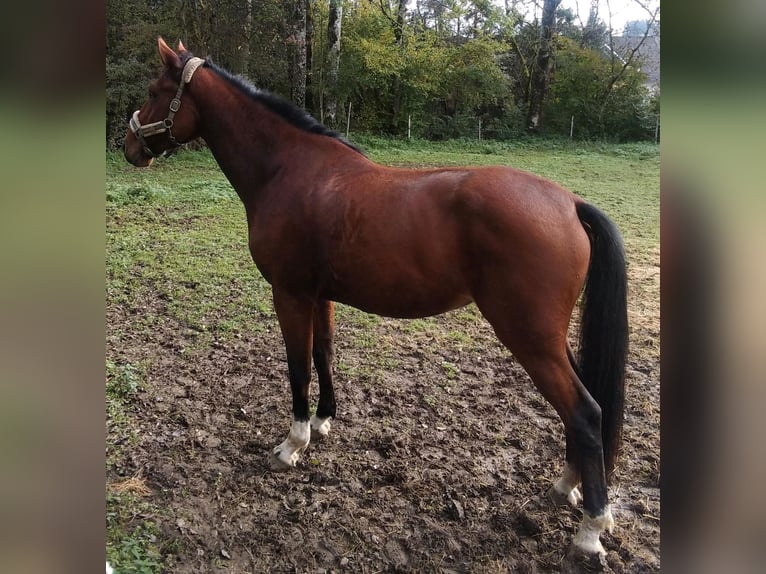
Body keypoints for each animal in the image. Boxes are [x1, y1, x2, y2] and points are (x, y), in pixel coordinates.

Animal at [124, 37, 632, 560]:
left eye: (154, 91)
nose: (129, 146)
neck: (289, 168)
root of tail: (569, 202)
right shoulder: (319, 296)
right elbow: (324, 355)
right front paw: (323, 423)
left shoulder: (289, 294)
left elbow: (297, 366)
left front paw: (292, 444)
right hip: (546, 339)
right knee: (582, 409)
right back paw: (567, 485)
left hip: (529, 338)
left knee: (585, 413)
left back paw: (590, 529)